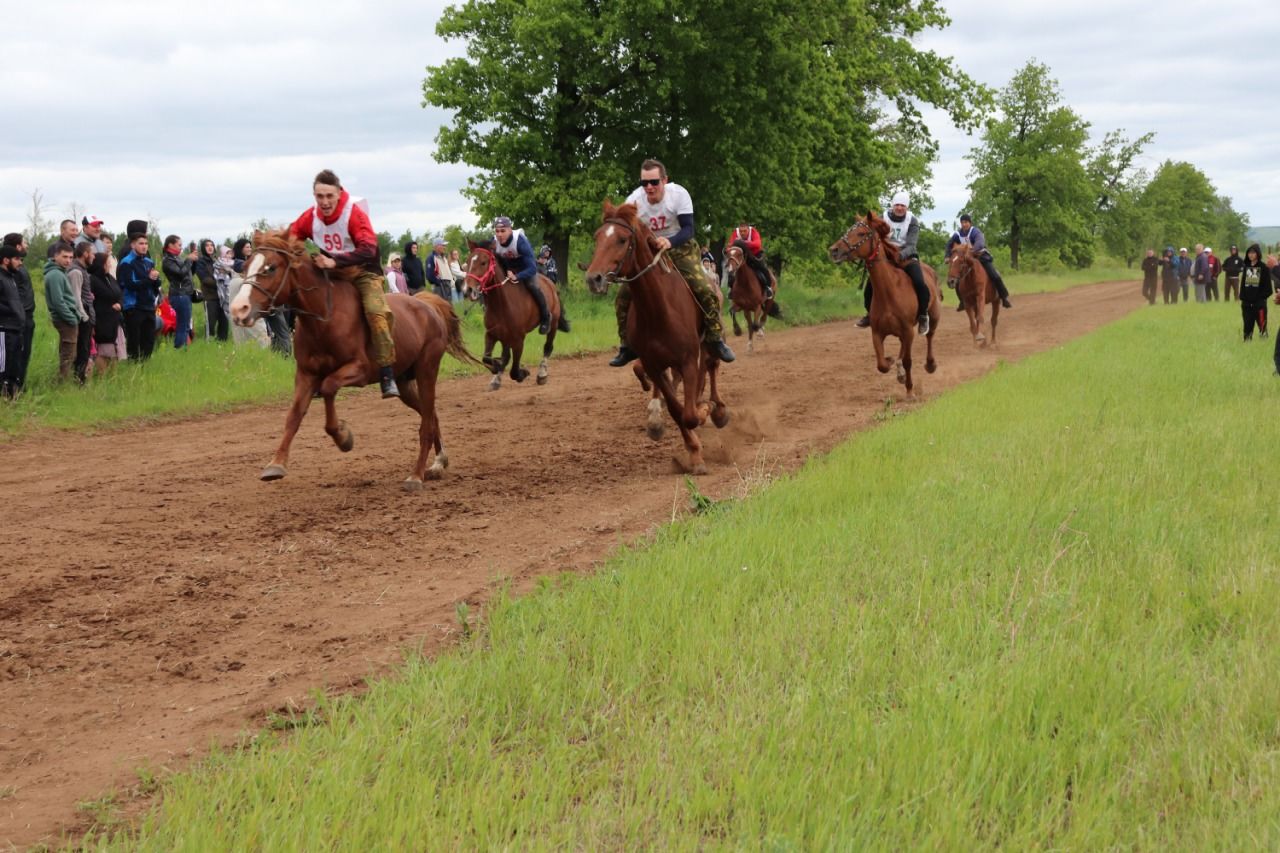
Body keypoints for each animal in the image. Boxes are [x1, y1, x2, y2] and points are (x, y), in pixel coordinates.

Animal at [227, 229, 481, 489]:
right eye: (245, 265)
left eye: (270, 268)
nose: (238, 309)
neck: (325, 317)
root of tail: (427, 304)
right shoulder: (306, 374)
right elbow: (294, 415)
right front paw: (276, 464)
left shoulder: (359, 370)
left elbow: (329, 387)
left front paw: (343, 436)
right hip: (405, 381)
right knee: (430, 415)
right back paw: (439, 462)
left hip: (427, 369)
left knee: (426, 422)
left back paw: (416, 475)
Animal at [460, 240, 560, 389]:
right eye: (467, 262)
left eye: (483, 262)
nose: (468, 290)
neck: (502, 303)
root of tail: (550, 282)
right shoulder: (491, 334)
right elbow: (487, 359)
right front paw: (497, 367)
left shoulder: (518, 340)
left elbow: (513, 371)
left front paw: (523, 373)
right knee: (506, 355)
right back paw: (497, 378)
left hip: (553, 324)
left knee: (548, 347)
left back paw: (542, 374)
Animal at [583, 199, 727, 471]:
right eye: (597, 237)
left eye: (621, 240)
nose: (593, 278)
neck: (659, 309)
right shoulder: (653, 364)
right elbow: (677, 410)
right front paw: (691, 449)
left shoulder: (688, 359)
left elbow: (691, 414)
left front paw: (704, 412)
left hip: (708, 340)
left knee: (712, 366)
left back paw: (718, 409)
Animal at [829, 212, 942, 399]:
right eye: (848, 230)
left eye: (861, 233)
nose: (833, 250)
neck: (889, 291)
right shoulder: (877, 333)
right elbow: (881, 364)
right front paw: (890, 362)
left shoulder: (908, 331)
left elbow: (908, 361)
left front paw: (909, 390)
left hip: (933, 317)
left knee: (930, 336)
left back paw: (930, 364)